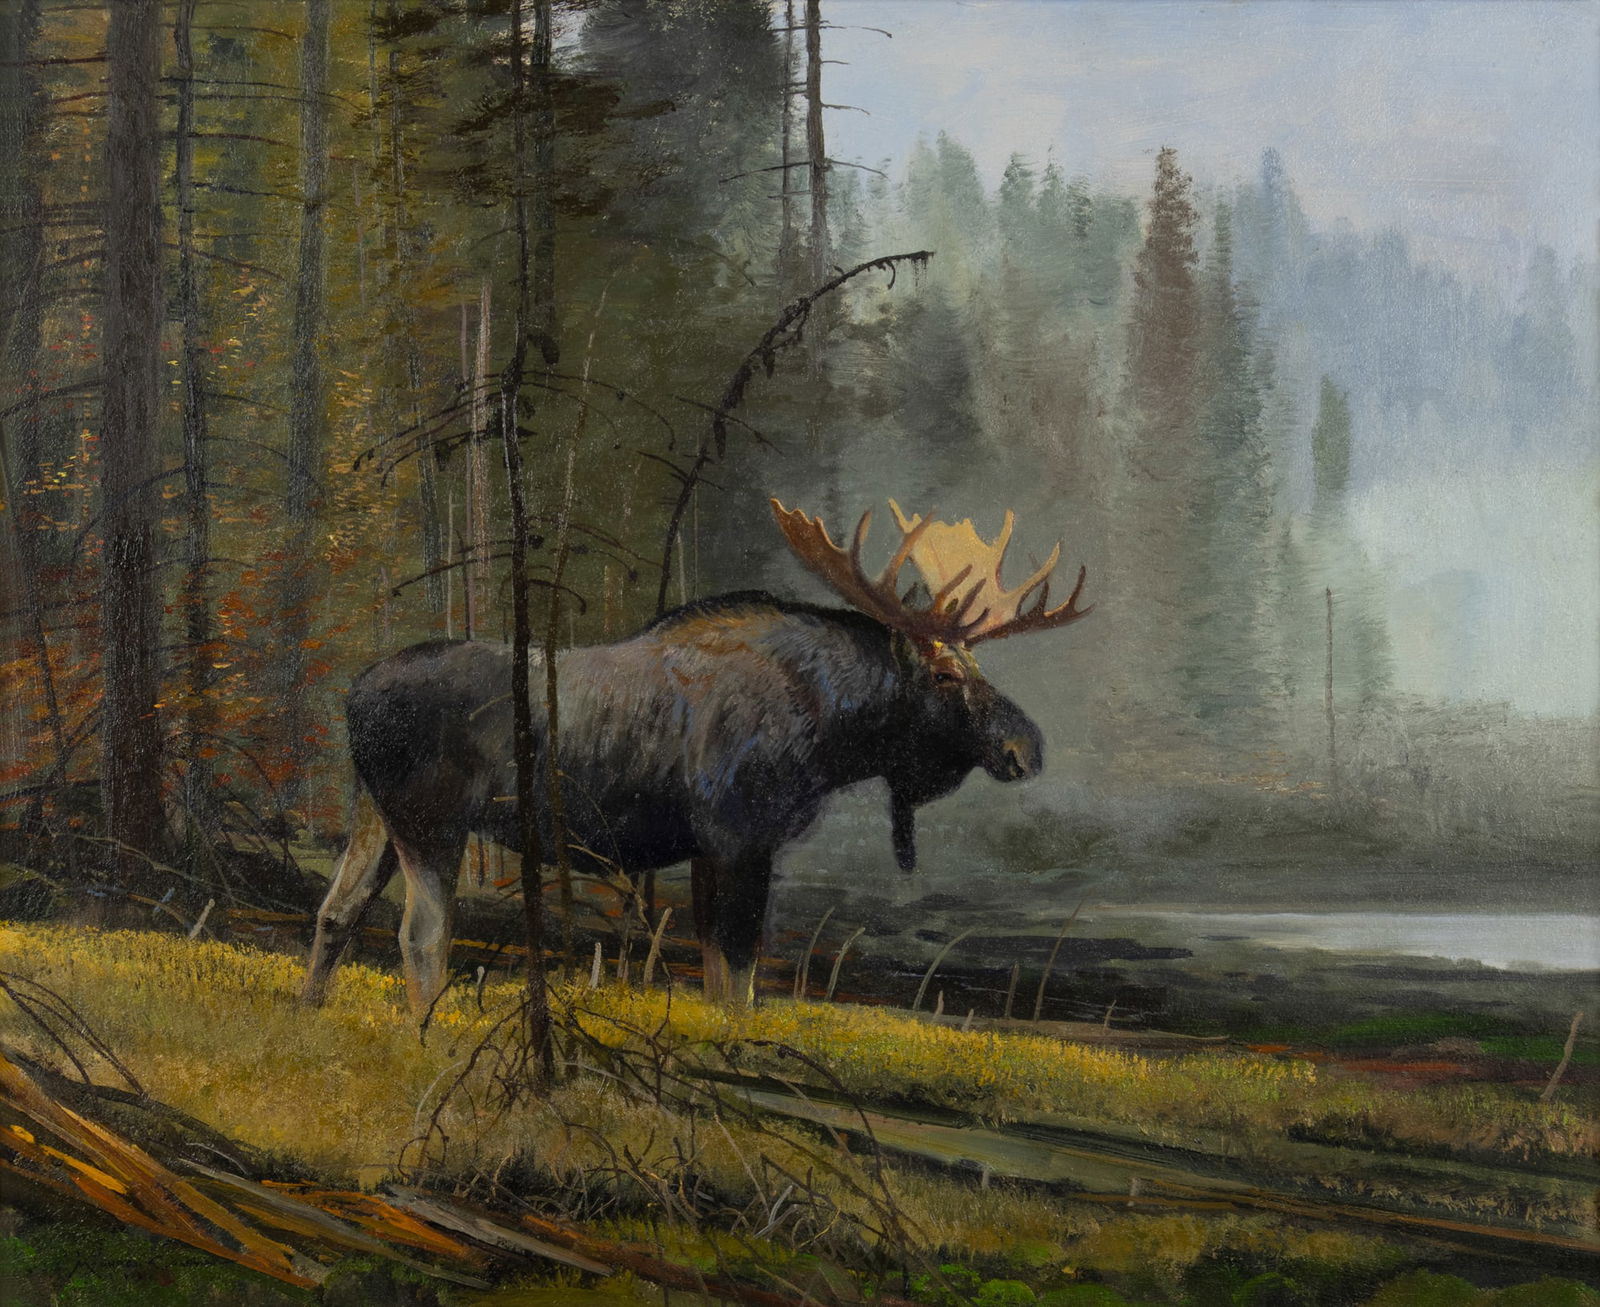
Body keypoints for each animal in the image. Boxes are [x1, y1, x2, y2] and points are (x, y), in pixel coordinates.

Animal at [301, 498, 1092, 1015]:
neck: (831, 732)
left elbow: (718, 980)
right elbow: (739, 983)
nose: (1026, 746)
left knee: (336, 912)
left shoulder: (714, 849)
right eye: (946, 674)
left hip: (376, 813)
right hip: (430, 820)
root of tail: (352, 696)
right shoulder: (742, 835)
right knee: (421, 935)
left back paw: (307, 1015)